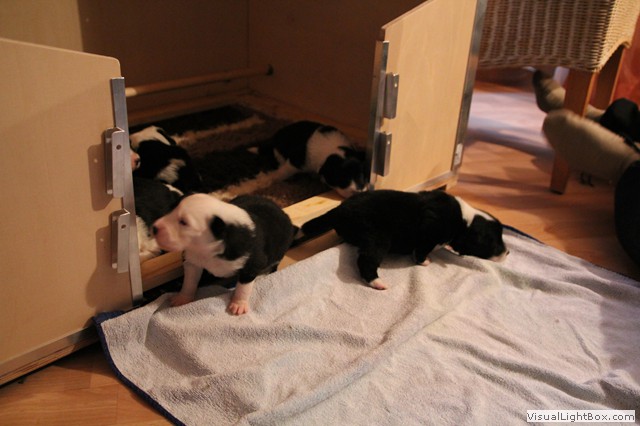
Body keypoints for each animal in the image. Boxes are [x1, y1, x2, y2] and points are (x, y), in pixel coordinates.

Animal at [152, 193, 296, 314]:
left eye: (183, 222)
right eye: (171, 209)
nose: (154, 228)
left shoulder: (252, 263)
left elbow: (243, 287)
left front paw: (238, 304)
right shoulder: (192, 261)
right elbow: (189, 281)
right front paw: (183, 298)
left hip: (279, 251)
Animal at [301, 189, 508, 289]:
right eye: (495, 242)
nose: (508, 252)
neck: (464, 222)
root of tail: (340, 209)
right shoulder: (430, 231)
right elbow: (422, 250)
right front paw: (424, 261)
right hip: (378, 237)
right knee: (366, 261)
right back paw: (378, 283)